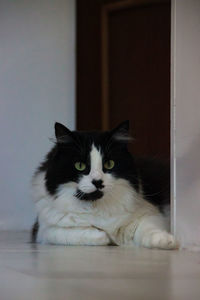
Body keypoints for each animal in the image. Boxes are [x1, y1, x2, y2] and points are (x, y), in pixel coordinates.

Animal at [31, 120, 178, 250]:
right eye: (80, 166)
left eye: (109, 164)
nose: (97, 182)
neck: (97, 207)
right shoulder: (42, 231)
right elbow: (73, 233)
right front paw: (104, 236)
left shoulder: (151, 214)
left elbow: (149, 229)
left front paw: (168, 241)